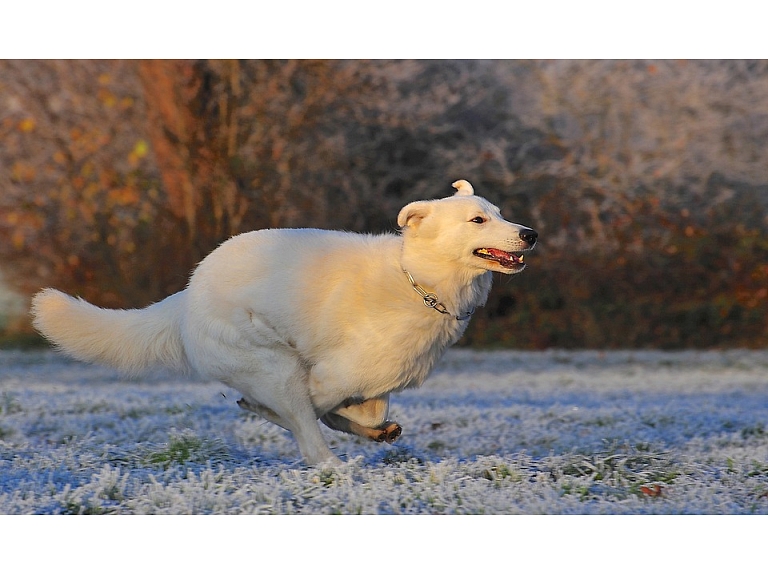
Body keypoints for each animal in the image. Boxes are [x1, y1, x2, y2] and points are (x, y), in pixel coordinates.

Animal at [28, 181, 536, 468]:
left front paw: (374, 429)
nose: (530, 234)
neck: (419, 280)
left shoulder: (374, 381)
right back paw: (334, 466)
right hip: (277, 366)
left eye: (501, 214)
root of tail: (188, 294)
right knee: (307, 436)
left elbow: (359, 411)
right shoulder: (327, 375)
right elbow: (314, 411)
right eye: (478, 219)